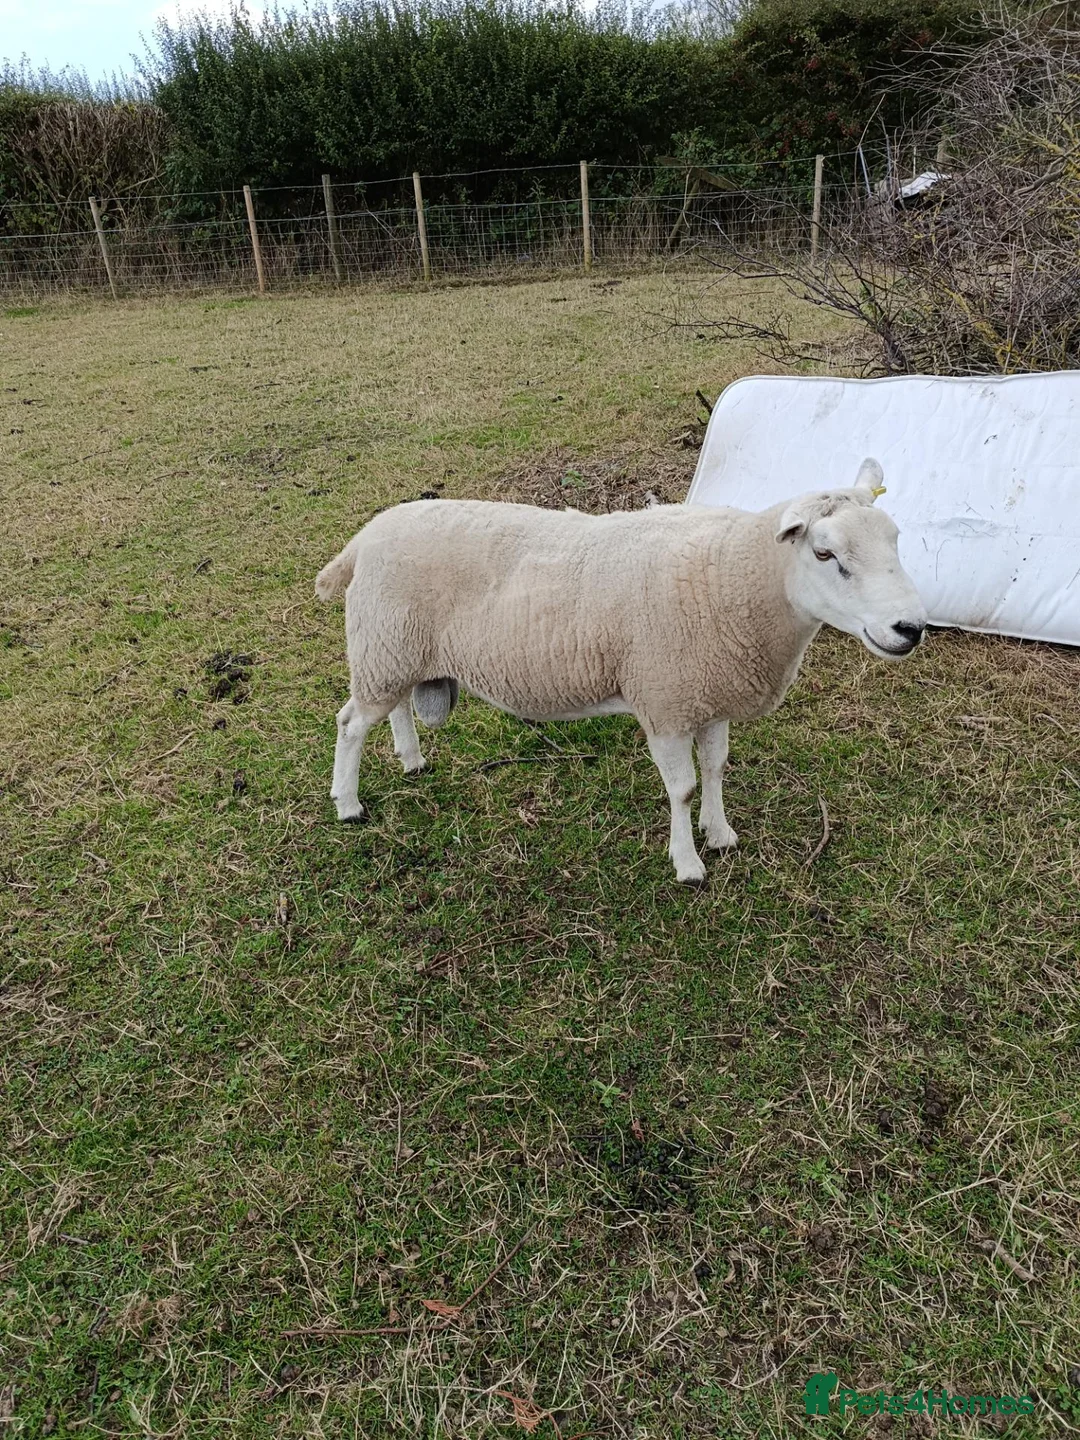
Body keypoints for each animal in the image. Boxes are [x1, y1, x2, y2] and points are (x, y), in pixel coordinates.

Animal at [315, 458, 926, 883]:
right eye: (825, 555)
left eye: (896, 540)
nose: (911, 628)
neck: (733, 577)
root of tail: (365, 538)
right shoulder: (665, 701)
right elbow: (683, 789)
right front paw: (688, 864)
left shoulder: (709, 694)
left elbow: (717, 768)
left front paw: (720, 833)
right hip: (384, 643)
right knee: (350, 723)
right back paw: (347, 804)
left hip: (397, 648)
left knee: (392, 707)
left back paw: (411, 759)